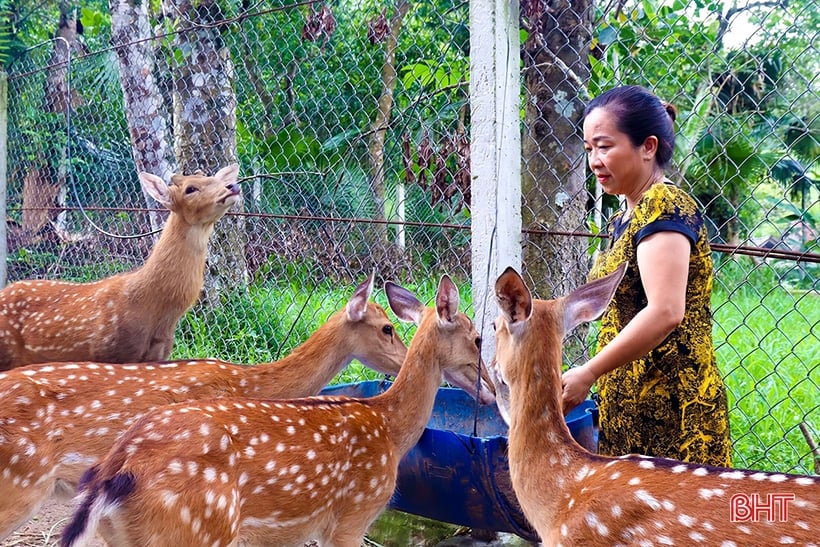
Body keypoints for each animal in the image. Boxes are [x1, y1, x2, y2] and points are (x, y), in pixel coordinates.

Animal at [60, 276, 496, 547]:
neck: (388, 429)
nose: (493, 392)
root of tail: (114, 472)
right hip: (194, 529)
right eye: (477, 338)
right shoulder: (353, 514)